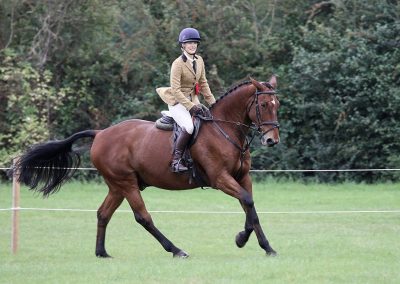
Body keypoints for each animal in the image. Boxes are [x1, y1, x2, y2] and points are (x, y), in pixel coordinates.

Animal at [13, 75, 282, 258]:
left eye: (277, 104)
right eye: (264, 105)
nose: (272, 140)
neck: (224, 129)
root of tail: (100, 134)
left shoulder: (242, 177)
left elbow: (250, 207)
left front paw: (264, 246)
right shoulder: (220, 178)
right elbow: (247, 201)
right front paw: (242, 239)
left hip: (117, 186)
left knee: (103, 213)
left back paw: (102, 252)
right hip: (126, 183)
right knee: (143, 217)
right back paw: (176, 250)